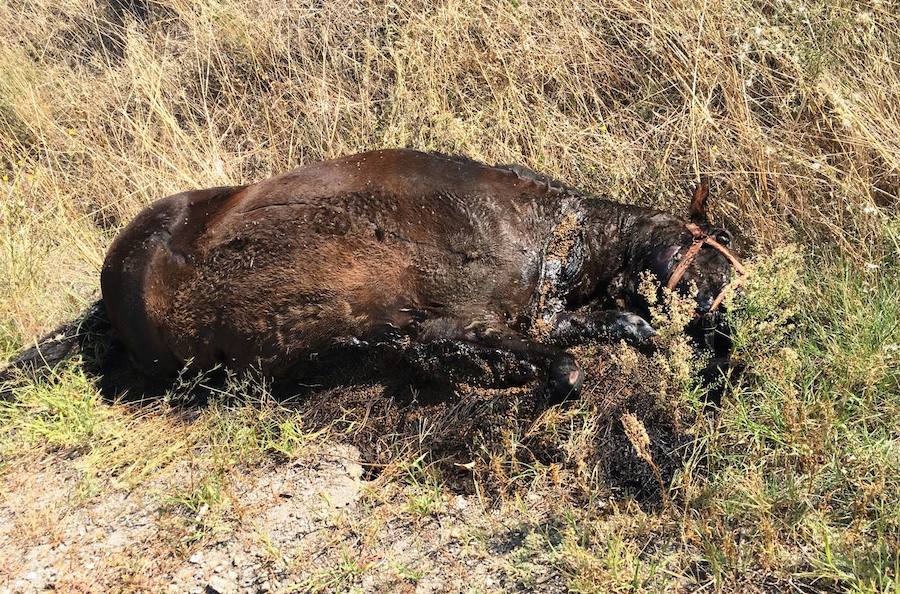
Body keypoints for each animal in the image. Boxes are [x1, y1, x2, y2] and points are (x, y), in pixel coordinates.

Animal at [102, 150, 740, 396]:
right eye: (716, 244)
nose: (730, 331)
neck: (556, 232)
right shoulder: (451, 320)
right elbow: (567, 365)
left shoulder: (541, 311)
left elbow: (621, 327)